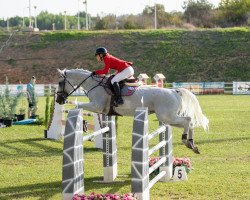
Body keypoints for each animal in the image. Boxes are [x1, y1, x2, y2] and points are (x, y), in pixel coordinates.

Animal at [56, 68, 209, 153]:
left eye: (60, 82)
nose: (58, 100)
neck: (94, 84)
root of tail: (174, 91)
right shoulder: (100, 109)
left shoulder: (96, 106)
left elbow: (78, 106)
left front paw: (83, 125)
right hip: (167, 118)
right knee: (189, 121)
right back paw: (192, 144)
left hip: (167, 117)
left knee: (187, 120)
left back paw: (186, 141)